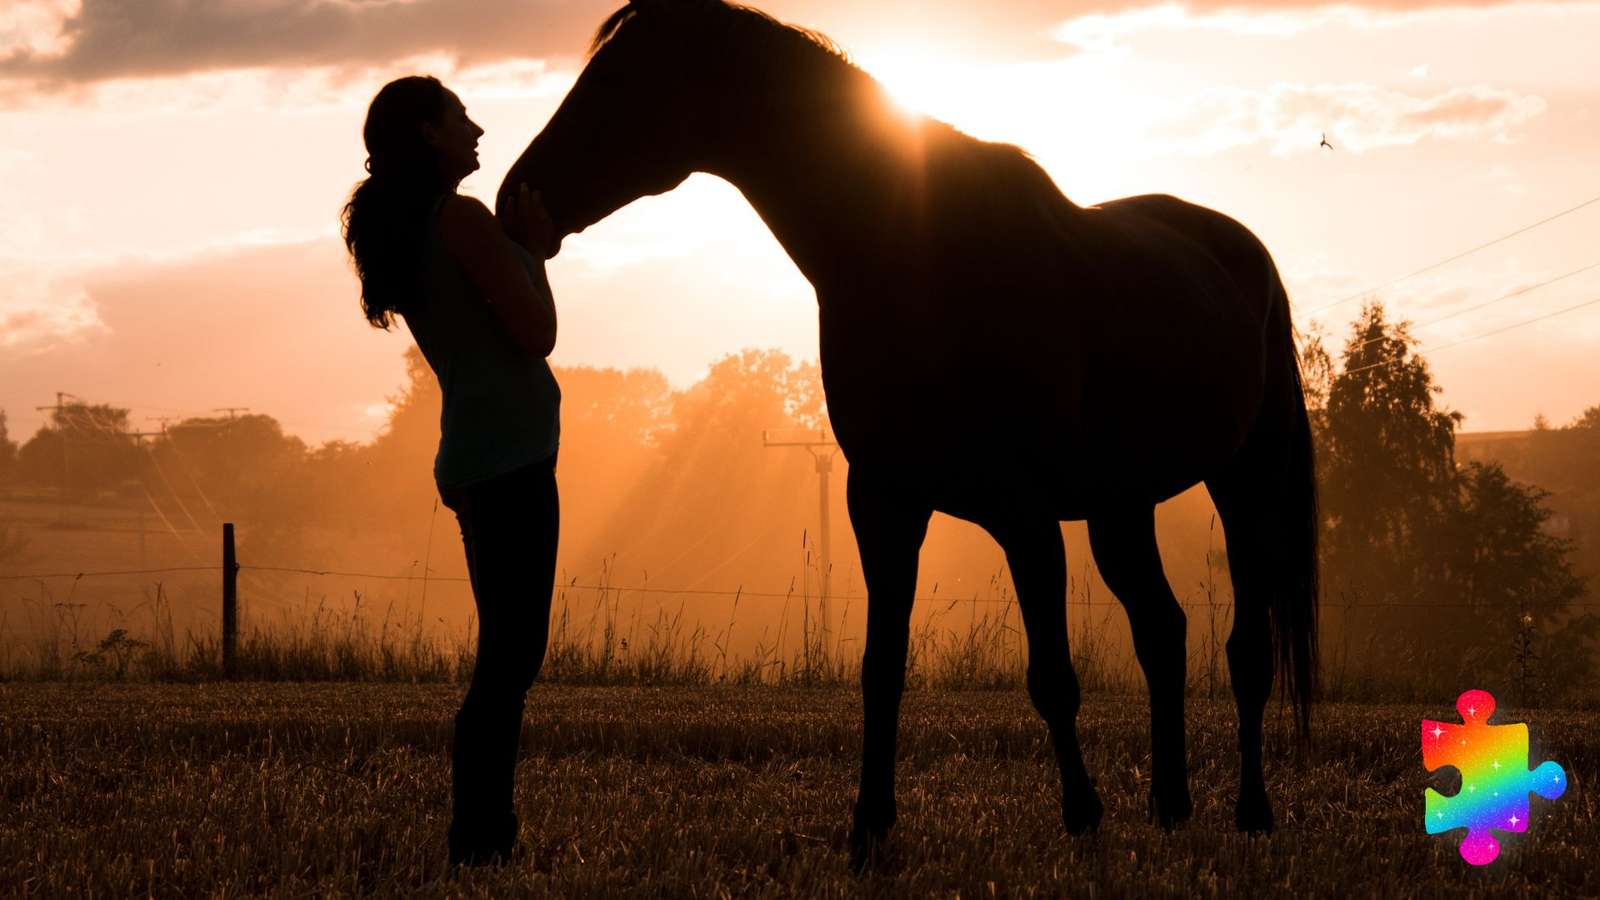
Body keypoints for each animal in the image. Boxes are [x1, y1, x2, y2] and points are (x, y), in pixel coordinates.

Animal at [499, 0, 1312, 864]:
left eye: (620, 79)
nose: (514, 197)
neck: (919, 257)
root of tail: (1243, 253)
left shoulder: (1025, 516)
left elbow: (1052, 676)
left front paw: (1082, 814)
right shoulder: (884, 502)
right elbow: (880, 667)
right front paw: (869, 828)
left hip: (1243, 485)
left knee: (1245, 651)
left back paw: (1251, 811)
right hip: (1120, 508)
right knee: (1163, 631)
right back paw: (1169, 804)